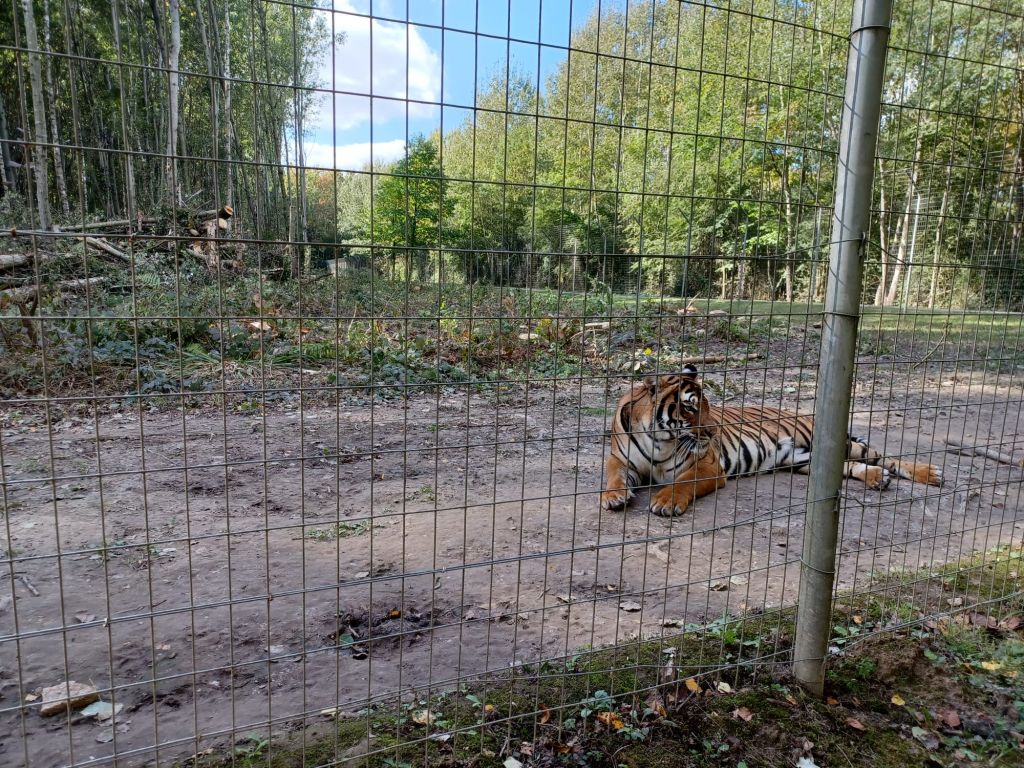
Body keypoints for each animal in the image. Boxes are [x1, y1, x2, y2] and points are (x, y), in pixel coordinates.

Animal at [598, 364, 942, 520]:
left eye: (708, 406)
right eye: (691, 407)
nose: (713, 433)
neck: (659, 437)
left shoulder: (707, 465)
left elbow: (680, 483)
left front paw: (665, 502)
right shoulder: (621, 459)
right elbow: (613, 476)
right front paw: (613, 497)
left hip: (834, 444)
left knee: (886, 457)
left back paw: (929, 473)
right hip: (802, 459)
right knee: (853, 467)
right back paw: (877, 478)